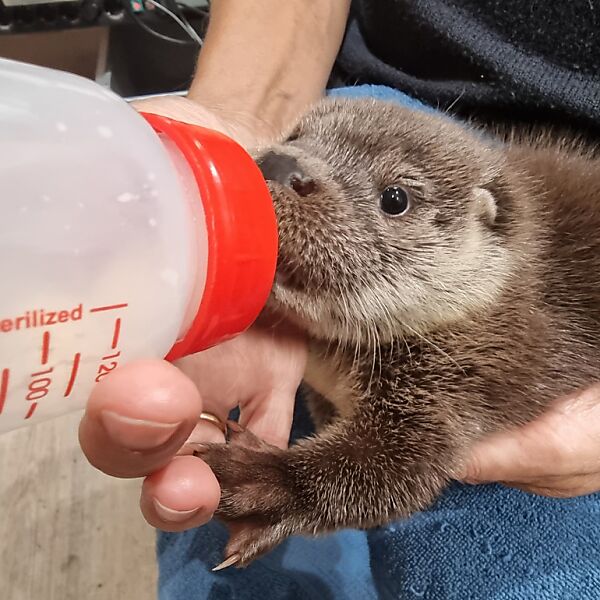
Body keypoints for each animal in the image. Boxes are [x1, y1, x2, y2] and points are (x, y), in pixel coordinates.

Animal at [195, 98, 600, 568]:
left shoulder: (470, 372)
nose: (282, 163)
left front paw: (261, 481)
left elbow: (390, 473)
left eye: (395, 198)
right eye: (296, 135)